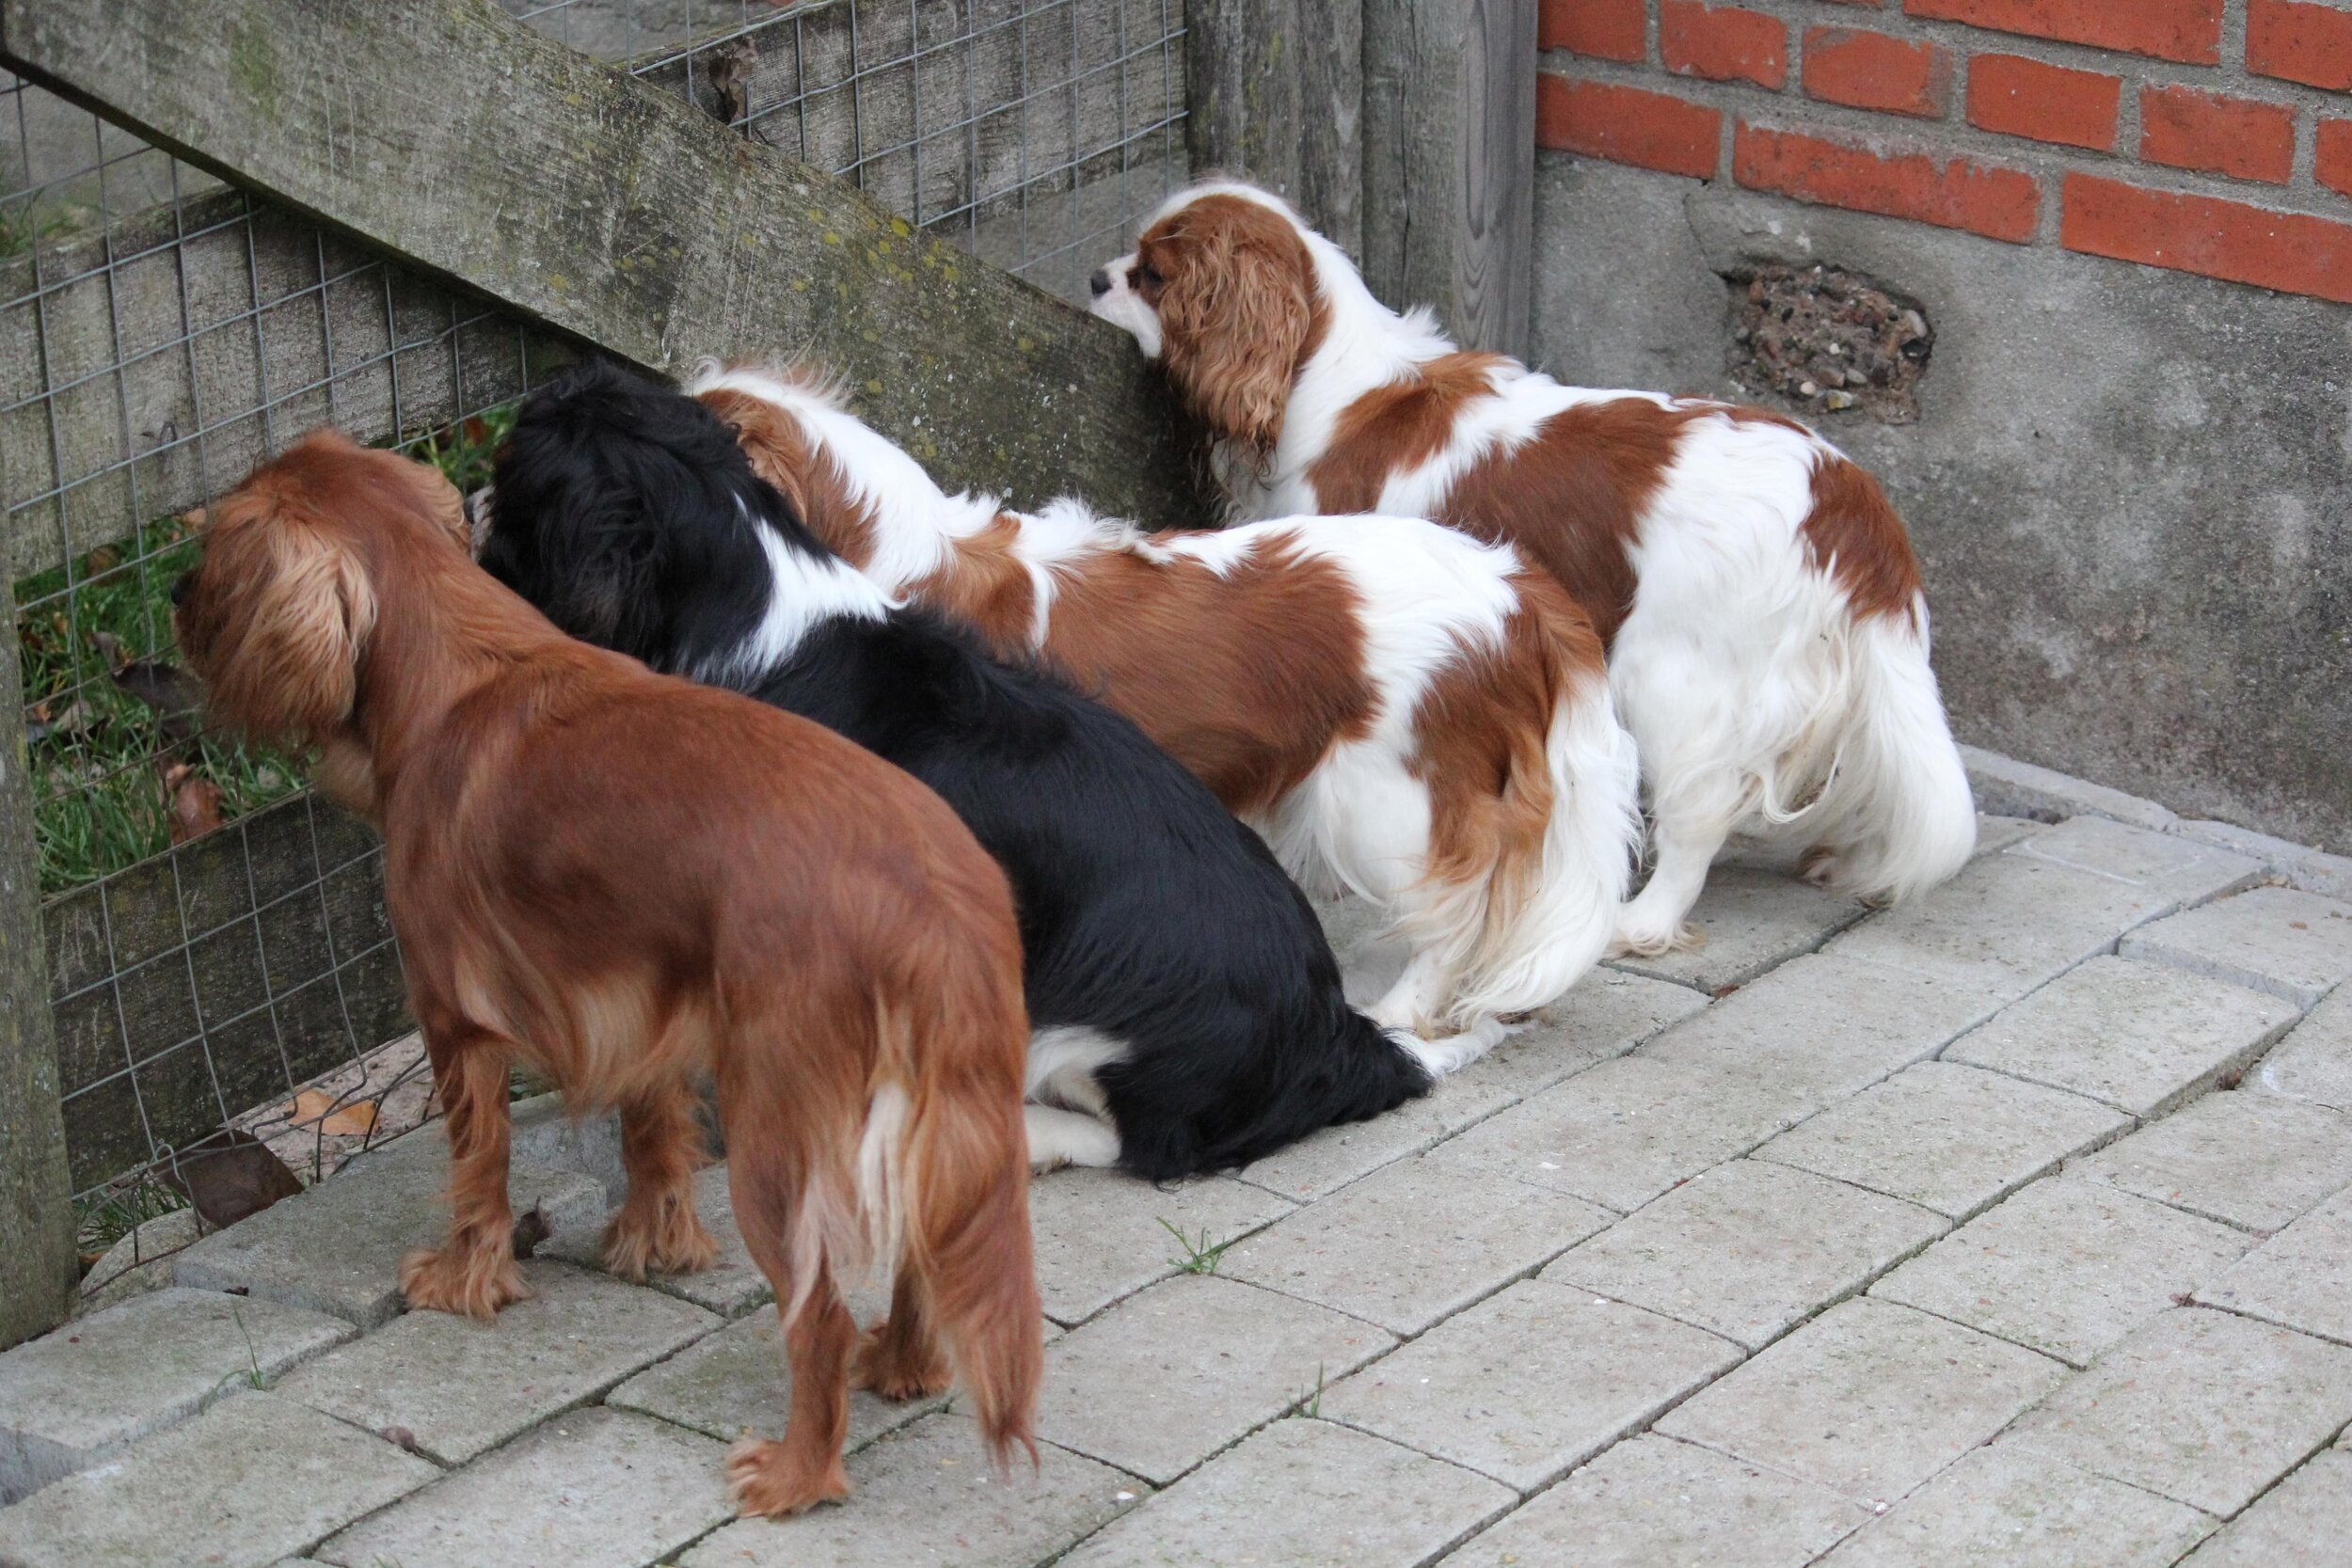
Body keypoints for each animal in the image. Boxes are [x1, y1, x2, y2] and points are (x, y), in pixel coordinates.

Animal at [170, 432, 1035, 1523]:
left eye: (210, 554)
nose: (167, 591)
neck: (463, 666)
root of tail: (931, 888)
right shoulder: (639, 989)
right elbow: (650, 1132)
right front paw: (651, 1245)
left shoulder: (456, 1020)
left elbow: (480, 1166)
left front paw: (463, 1278)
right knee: (924, 1252)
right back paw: (903, 1369)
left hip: (775, 1139)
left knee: (818, 1317)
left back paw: (797, 1474)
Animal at [472, 364, 1486, 1175]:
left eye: (512, 468)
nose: (468, 503)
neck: (754, 598)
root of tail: (1338, 1034)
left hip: (1079, 1010)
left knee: (1131, 1141)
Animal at [1091, 177, 1976, 949]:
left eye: (1152, 275)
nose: (1096, 275)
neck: (1332, 380)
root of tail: (1846, 497)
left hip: (1673, 672)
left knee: (1702, 812)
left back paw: (1643, 920)